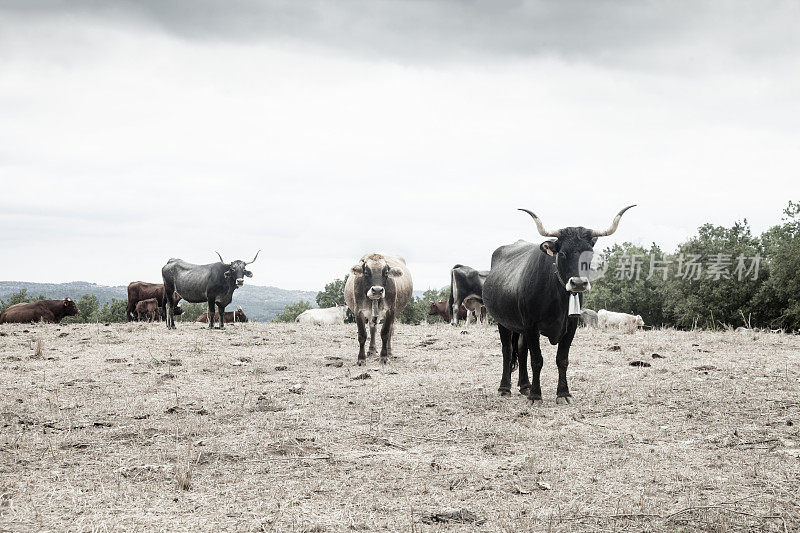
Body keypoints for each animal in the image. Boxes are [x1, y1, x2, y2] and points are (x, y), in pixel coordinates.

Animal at [484, 205, 636, 404]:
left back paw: (525, 385)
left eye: (589, 253)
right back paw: (505, 388)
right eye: (562, 252)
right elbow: (537, 360)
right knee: (508, 350)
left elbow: (562, 359)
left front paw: (563, 393)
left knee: (522, 350)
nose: (578, 283)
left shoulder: (570, 325)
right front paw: (536, 395)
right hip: (503, 322)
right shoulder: (531, 325)